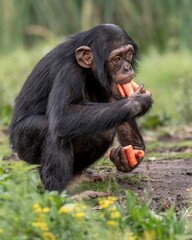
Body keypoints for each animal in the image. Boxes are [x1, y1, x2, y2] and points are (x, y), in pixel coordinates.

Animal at [9, 24, 153, 192]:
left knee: (102, 133)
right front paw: (138, 101)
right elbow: (62, 115)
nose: (127, 68)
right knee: (53, 131)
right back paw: (62, 193)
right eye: (117, 59)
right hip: (23, 145)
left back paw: (77, 179)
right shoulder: (69, 71)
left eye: (128, 54)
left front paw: (129, 154)